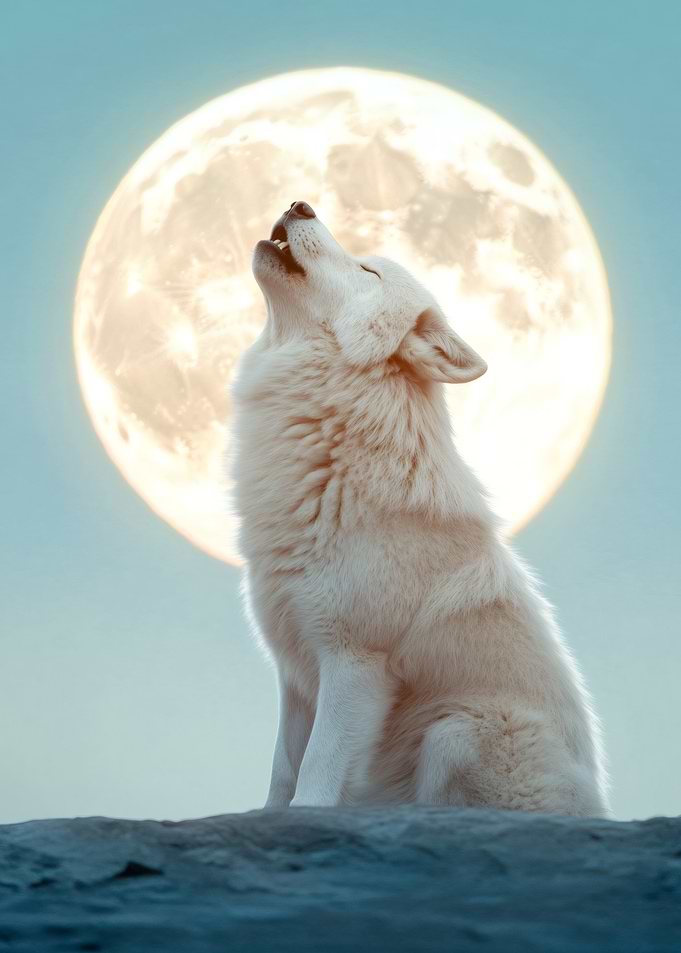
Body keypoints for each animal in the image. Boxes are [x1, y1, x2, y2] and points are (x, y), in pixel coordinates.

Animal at [230, 201, 610, 816]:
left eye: (368, 271)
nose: (299, 204)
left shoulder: (354, 664)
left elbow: (313, 777)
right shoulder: (295, 672)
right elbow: (282, 775)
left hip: (454, 731)